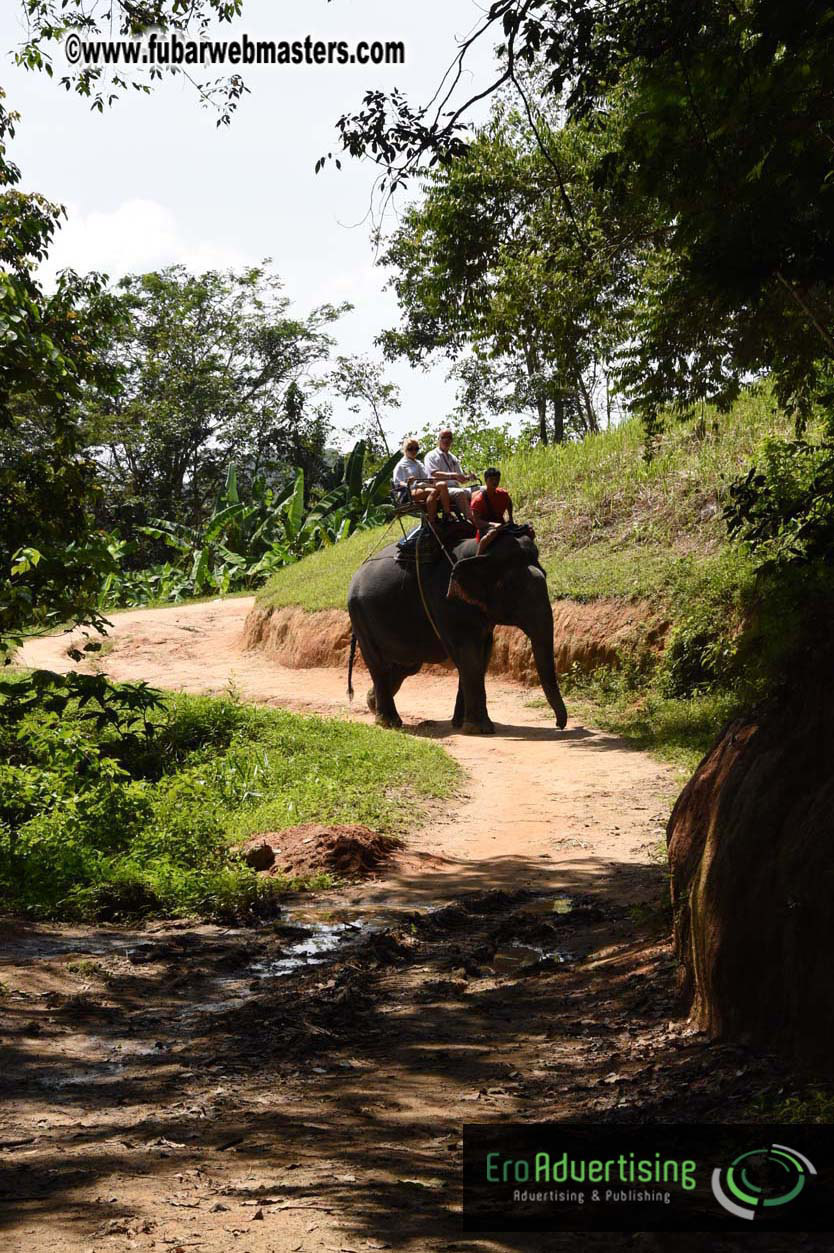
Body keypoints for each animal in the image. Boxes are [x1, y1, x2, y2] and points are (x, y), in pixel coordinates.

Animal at [346, 526, 568, 734]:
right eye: (514, 588)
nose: (559, 725)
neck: (479, 551)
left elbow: (482, 655)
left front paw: (461, 724)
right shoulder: (445, 601)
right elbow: (468, 654)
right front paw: (479, 729)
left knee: (406, 665)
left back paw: (372, 704)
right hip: (359, 616)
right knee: (379, 664)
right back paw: (389, 722)